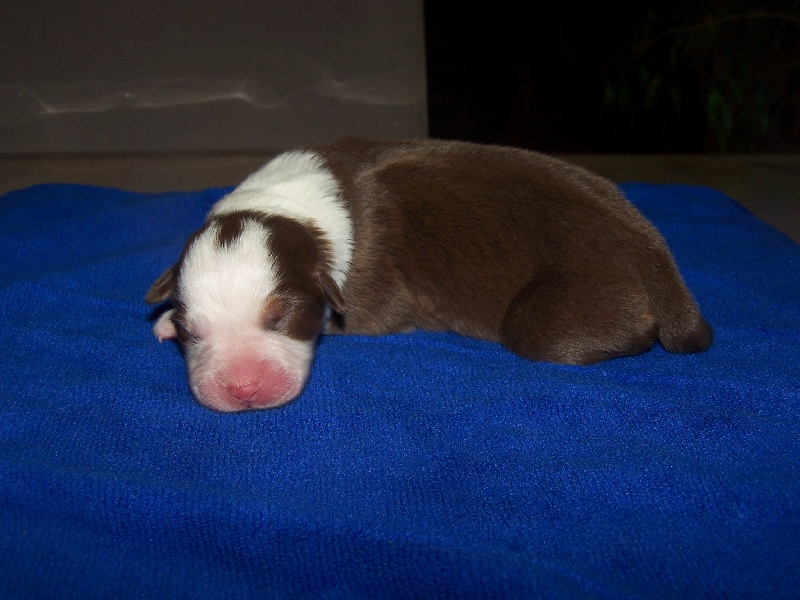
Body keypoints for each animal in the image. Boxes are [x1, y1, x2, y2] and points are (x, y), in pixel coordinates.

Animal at [146, 138, 712, 412]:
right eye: (194, 331)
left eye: (282, 317)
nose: (243, 389)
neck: (288, 209)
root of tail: (658, 258)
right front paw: (164, 322)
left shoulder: (375, 297)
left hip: (557, 315)